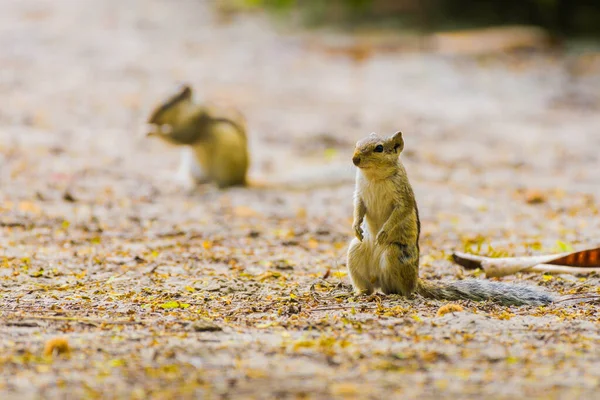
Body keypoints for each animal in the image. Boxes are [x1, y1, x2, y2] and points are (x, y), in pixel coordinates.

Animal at [146, 84, 356, 191]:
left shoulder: (194, 125)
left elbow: (179, 138)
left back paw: (211, 186)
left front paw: (153, 130)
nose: (149, 119)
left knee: (224, 185)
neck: (189, 110)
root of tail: (243, 179)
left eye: (165, 104)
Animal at [346, 131, 556, 306]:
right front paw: (356, 227)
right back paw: (360, 292)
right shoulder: (360, 194)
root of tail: (415, 280)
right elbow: (358, 207)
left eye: (379, 148)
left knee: (402, 290)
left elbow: (399, 213)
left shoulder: (402, 198)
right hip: (356, 252)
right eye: (356, 142)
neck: (374, 176)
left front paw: (383, 233)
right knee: (371, 286)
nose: (355, 159)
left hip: (394, 254)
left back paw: (398, 295)